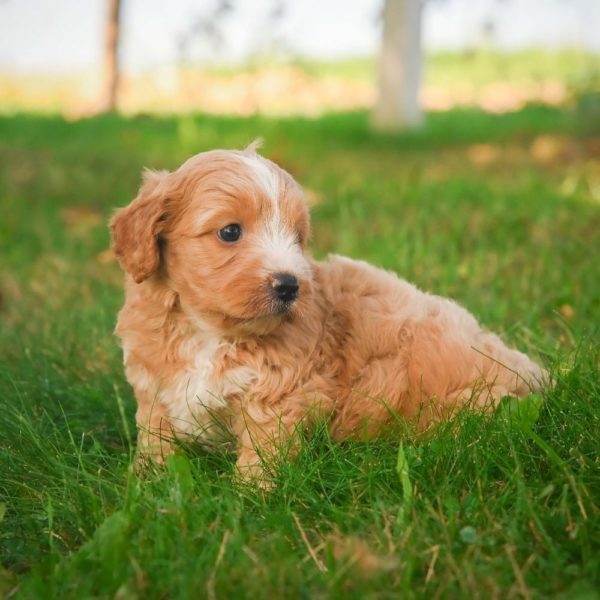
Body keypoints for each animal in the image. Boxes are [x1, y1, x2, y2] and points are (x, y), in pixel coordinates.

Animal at [110, 145, 548, 482]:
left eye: (297, 237)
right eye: (230, 232)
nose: (290, 285)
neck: (211, 333)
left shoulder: (283, 391)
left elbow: (264, 447)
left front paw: (251, 495)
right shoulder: (154, 385)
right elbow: (155, 435)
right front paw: (144, 481)